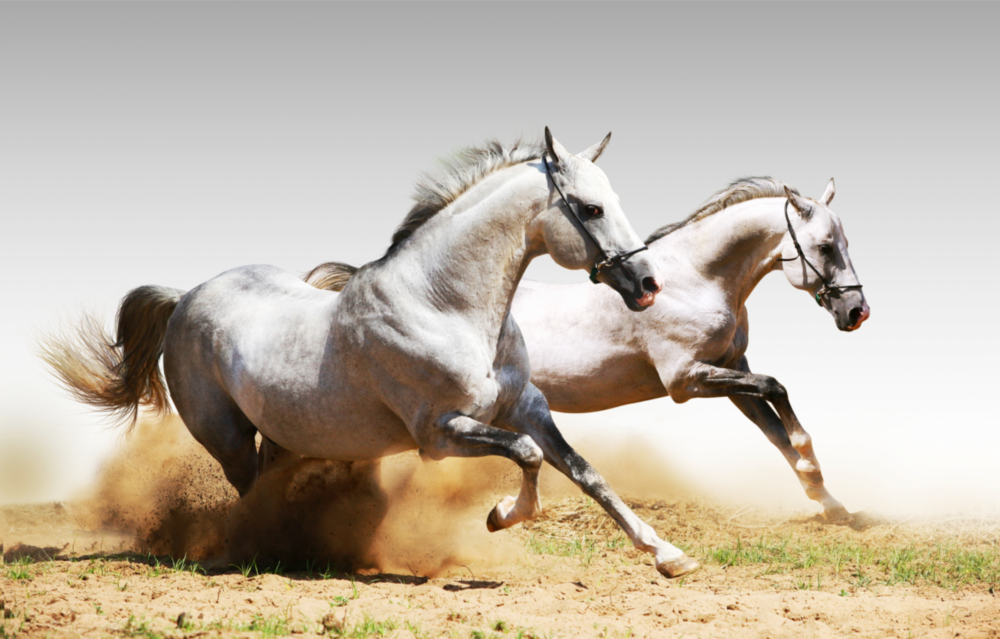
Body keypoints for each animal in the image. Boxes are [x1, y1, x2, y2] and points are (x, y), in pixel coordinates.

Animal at [42, 129, 702, 578]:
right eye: (590, 208)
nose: (647, 284)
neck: (444, 305)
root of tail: (185, 298)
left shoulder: (527, 408)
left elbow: (585, 472)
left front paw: (669, 555)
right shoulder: (440, 433)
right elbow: (529, 456)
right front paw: (499, 516)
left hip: (283, 434)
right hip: (225, 437)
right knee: (248, 491)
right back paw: (256, 551)